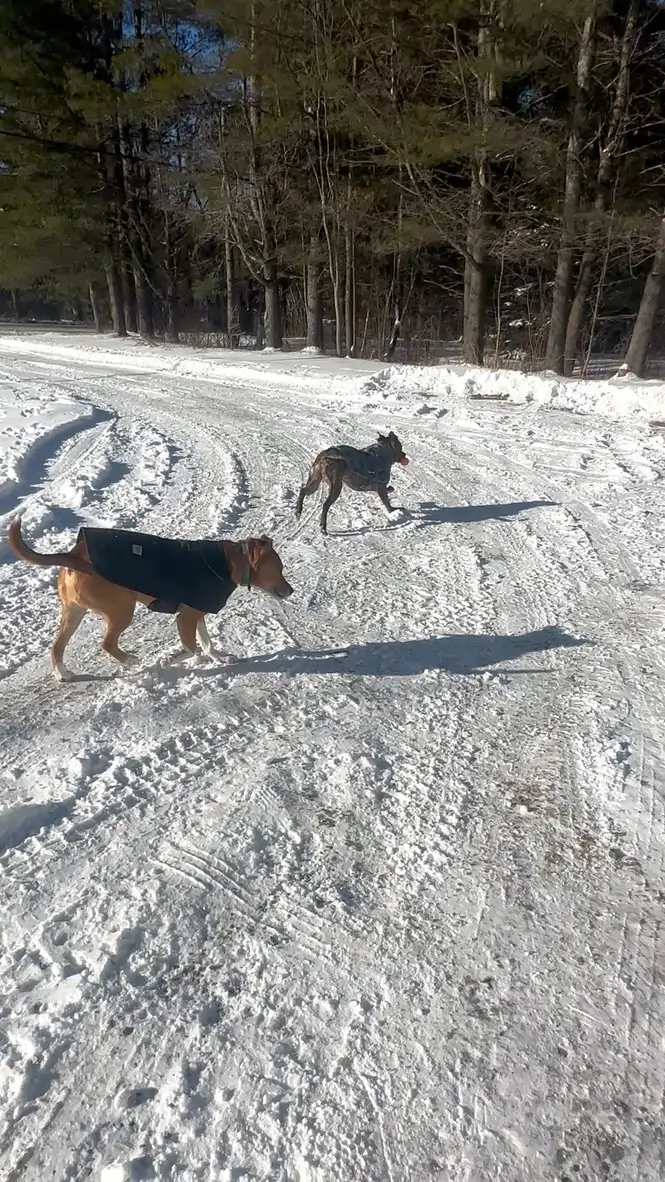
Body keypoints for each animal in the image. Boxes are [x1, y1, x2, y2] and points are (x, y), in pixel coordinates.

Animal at [7, 520, 294, 680]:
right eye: (279, 569)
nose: (291, 590)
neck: (230, 561)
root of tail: (74, 555)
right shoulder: (186, 617)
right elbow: (192, 647)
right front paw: (169, 659)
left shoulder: (197, 612)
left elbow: (206, 643)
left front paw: (220, 658)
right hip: (122, 609)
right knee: (107, 643)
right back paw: (130, 660)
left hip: (74, 612)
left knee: (56, 646)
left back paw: (62, 674)